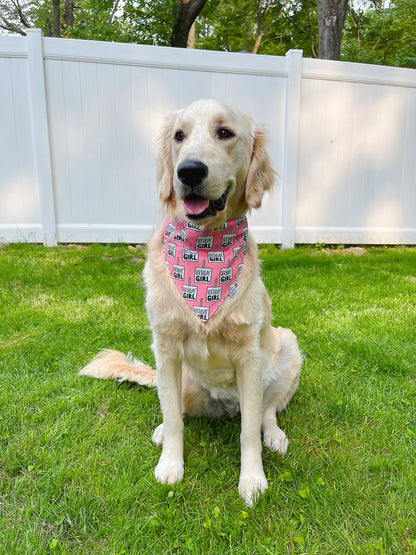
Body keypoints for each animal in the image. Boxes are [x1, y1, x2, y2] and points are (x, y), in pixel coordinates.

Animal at [81, 100, 302, 508]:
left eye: (225, 133)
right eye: (179, 136)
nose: (189, 171)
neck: (205, 247)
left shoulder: (250, 355)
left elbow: (249, 431)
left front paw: (252, 479)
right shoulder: (166, 348)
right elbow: (172, 418)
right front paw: (170, 465)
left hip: (287, 345)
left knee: (265, 411)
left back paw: (274, 435)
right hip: (184, 380)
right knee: (176, 411)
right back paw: (161, 430)